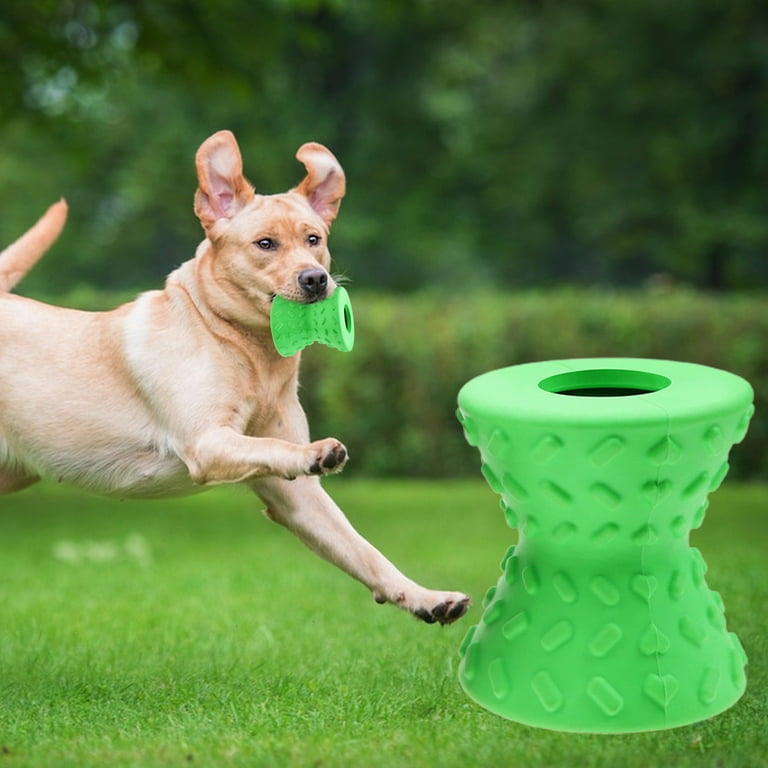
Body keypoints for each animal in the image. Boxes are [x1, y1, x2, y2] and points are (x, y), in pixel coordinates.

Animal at [0, 130, 472, 624]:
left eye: (314, 239)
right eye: (265, 244)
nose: (316, 279)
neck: (245, 349)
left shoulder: (298, 498)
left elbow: (364, 551)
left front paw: (424, 597)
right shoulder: (207, 443)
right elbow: (270, 446)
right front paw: (315, 452)